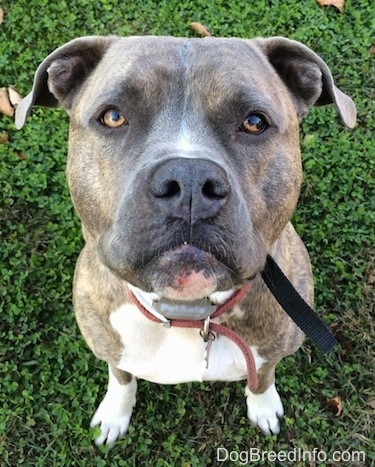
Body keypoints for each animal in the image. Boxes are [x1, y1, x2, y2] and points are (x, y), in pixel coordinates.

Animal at [15, 35, 356, 446]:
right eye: (113, 116)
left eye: (255, 122)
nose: (189, 181)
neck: (187, 314)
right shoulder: (110, 346)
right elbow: (121, 377)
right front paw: (114, 414)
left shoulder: (273, 349)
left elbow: (262, 378)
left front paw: (263, 407)